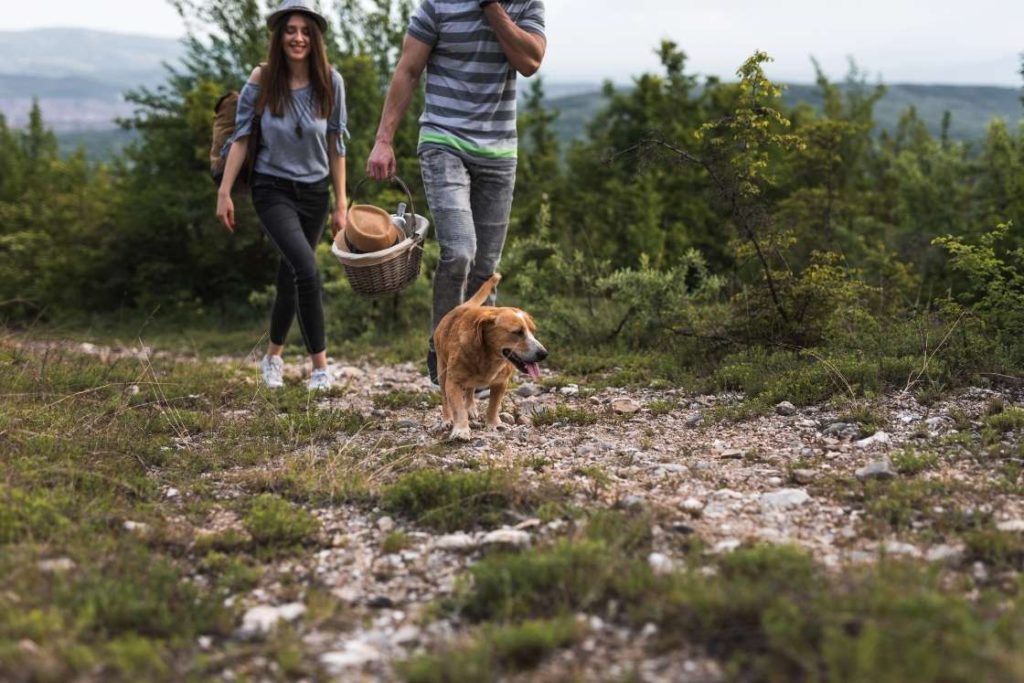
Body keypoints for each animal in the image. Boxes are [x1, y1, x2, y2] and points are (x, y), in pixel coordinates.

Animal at [432, 274, 548, 440]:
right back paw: (447, 419)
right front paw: (461, 429)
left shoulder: (501, 383)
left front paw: (494, 424)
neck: (488, 357)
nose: (543, 354)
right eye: (517, 332)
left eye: (533, 331)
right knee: (445, 400)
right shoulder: (452, 383)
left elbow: (493, 405)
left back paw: (471, 408)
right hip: (441, 371)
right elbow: (458, 409)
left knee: (470, 391)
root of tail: (462, 306)